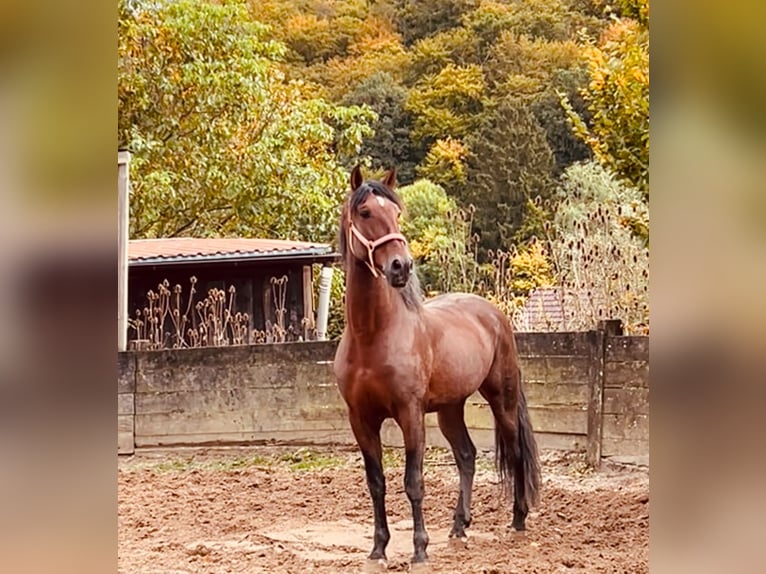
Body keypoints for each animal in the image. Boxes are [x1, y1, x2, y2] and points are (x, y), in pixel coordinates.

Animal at [332, 165, 544, 572]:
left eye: (396, 213)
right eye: (365, 213)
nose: (401, 266)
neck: (372, 337)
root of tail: (492, 313)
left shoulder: (410, 414)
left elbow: (413, 482)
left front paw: (419, 550)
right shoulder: (360, 420)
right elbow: (376, 483)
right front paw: (378, 549)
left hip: (502, 399)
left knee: (514, 452)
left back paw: (518, 520)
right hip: (450, 408)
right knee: (467, 456)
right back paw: (459, 527)